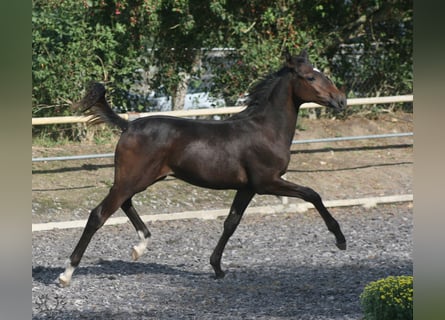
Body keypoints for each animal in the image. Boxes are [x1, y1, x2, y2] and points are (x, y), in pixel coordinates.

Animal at [57, 50, 346, 288]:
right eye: (310, 77)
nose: (341, 100)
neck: (265, 129)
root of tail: (128, 126)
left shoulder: (247, 188)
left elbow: (231, 222)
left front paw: (217, 268)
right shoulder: (267, 182)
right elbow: (312, 194)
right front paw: (340, 239)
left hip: (139, 179)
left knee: (124, 203)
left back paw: (140, 246)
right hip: (133, 178)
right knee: (99, 214)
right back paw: (66, 274)